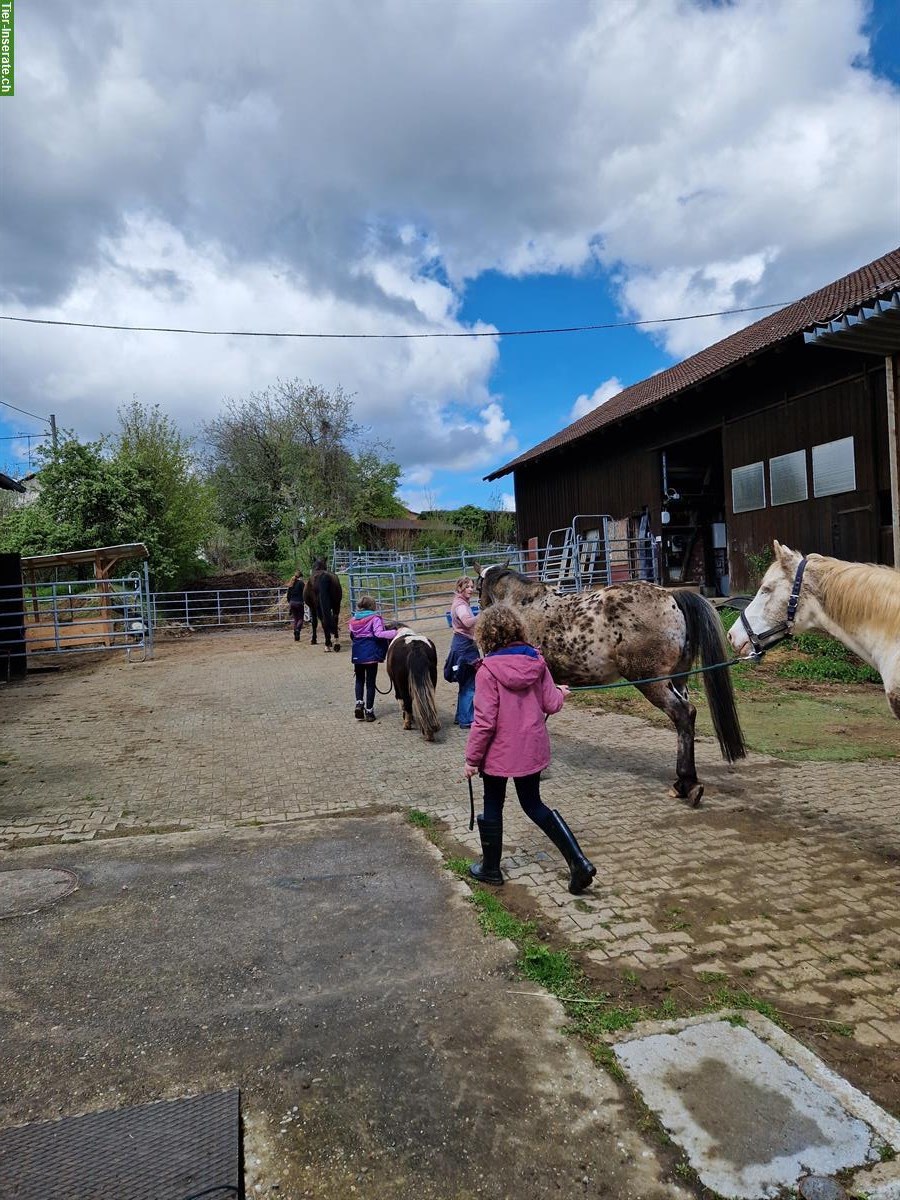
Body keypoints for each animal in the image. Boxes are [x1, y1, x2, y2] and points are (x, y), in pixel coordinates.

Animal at [472, 561, 748, 806]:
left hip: (651, 682)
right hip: (678, 681)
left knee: (683, 714)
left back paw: (685, 782)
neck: (520, 607)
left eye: (478, 588)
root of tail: (672, 597)